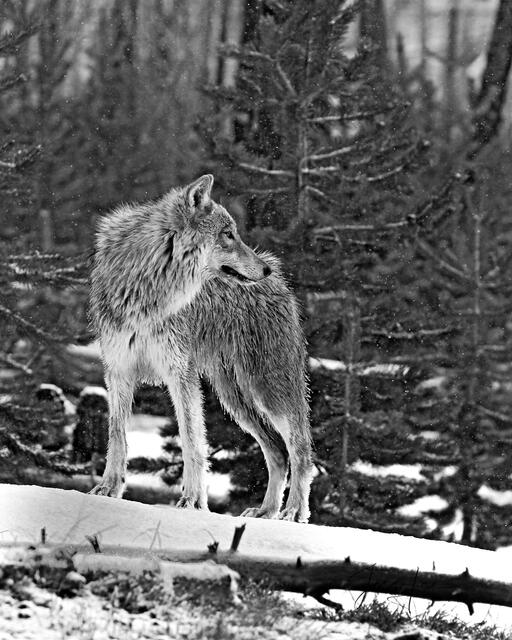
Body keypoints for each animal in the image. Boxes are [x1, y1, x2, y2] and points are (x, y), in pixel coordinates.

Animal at [89, 174, 312, 520]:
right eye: (228, 234)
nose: (264, 270)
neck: (148, 288)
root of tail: (282, 282)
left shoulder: (181, 374)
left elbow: (191, 440)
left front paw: (193, 502)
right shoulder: (118, 371)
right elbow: (117, 436)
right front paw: (108, 490)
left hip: (267, 390)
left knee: (301, 449)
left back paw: (293, 512)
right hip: (234, 399)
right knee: (277, 452)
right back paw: (266, 512)